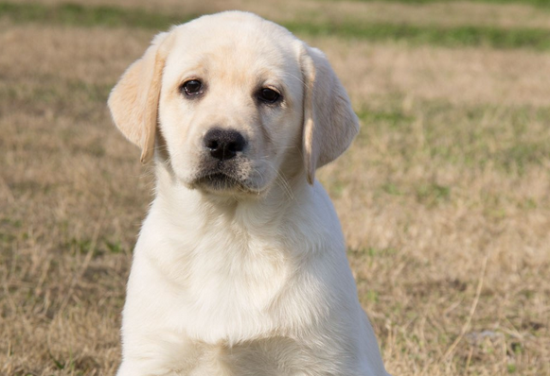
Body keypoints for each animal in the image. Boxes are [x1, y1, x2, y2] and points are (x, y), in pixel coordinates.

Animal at [109, 11, 392, 376]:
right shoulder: (152, 355)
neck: (230, 231)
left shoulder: (322, 359)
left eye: (269, 95)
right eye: (192, 86)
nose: (223, 141)